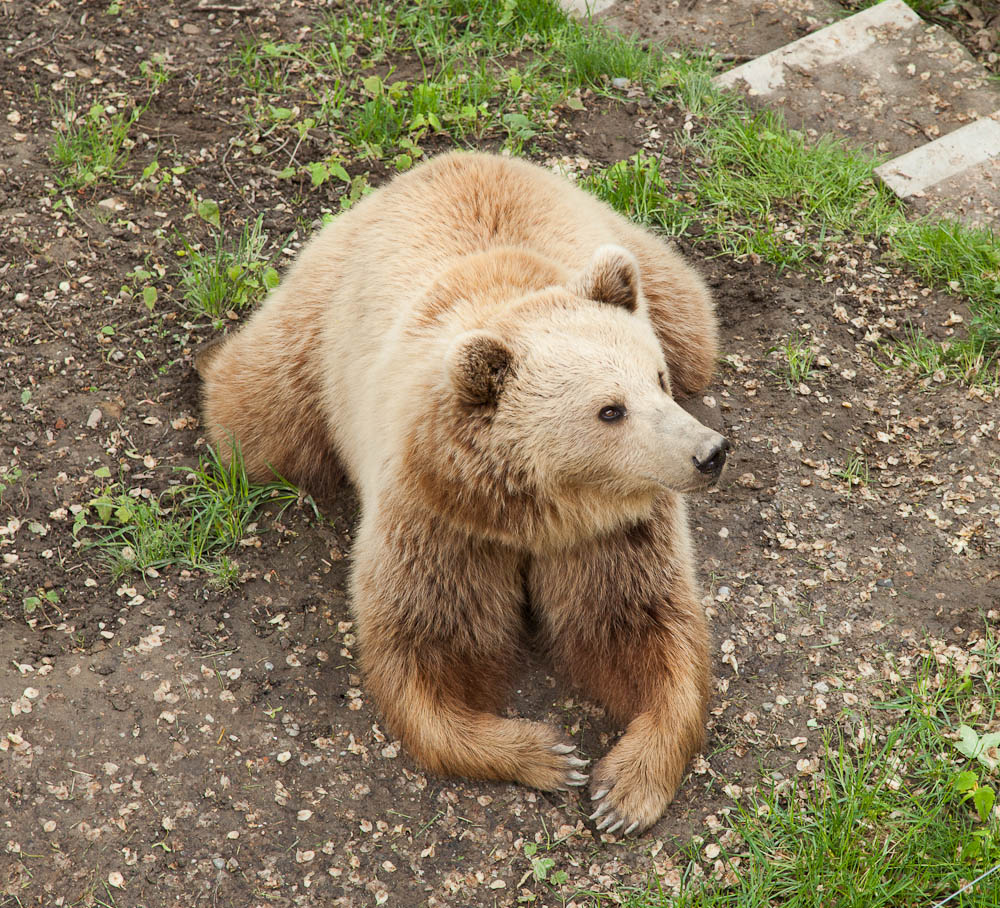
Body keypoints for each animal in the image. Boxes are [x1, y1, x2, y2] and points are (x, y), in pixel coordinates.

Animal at [199, 151, 732, 836]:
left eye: (656, 379)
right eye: (610, 409)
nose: (709, 452)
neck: (534, 514)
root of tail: (452, 159)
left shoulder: (612, 534)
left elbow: (642, 626)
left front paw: (625, 790)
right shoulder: (439, 520)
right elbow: (425, 648)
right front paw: (547, 755)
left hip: (645, 268)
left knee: (693, 320)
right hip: (314, 334)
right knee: (254, 414)